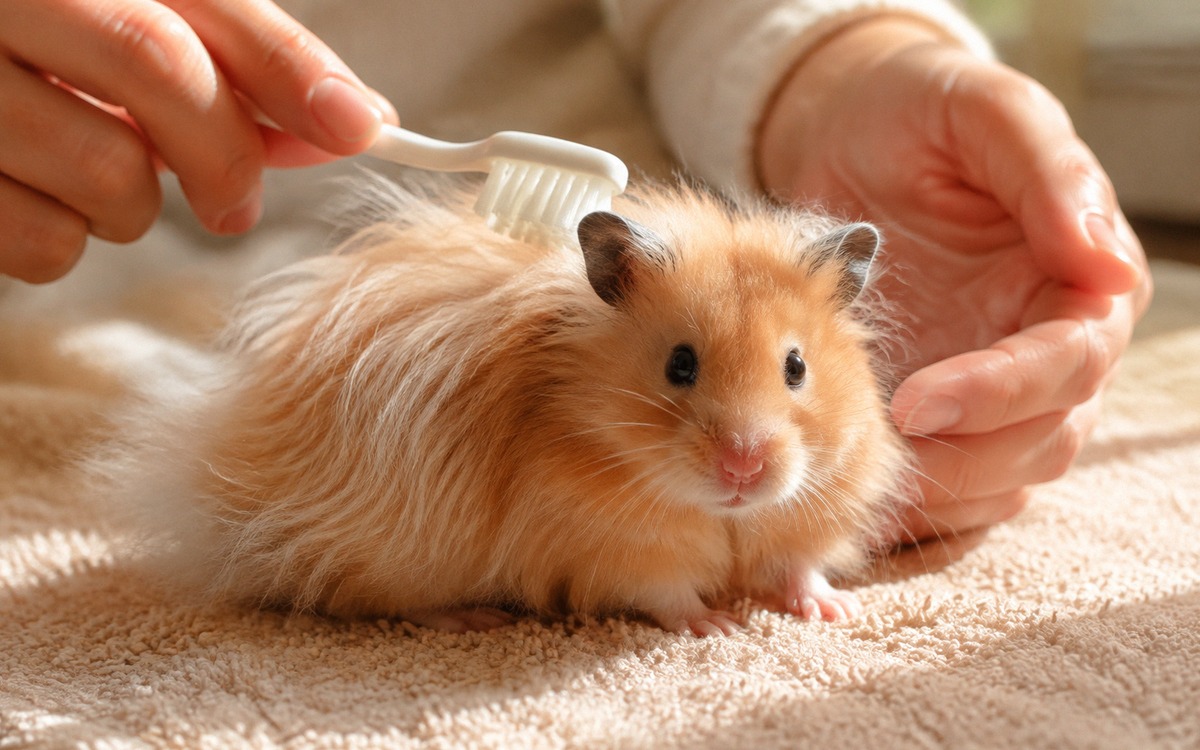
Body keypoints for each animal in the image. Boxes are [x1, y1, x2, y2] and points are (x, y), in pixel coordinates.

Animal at [108, 177, 909, 637]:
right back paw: (476, 615)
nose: (743, 468)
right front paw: (719, 628)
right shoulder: (614, 548)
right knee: (367, 599)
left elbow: (799, 568)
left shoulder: (807, 515)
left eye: (796, 367)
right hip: (395, 555)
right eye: (679, 365)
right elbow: (669, 593)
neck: (724, 515)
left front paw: (835, 610)